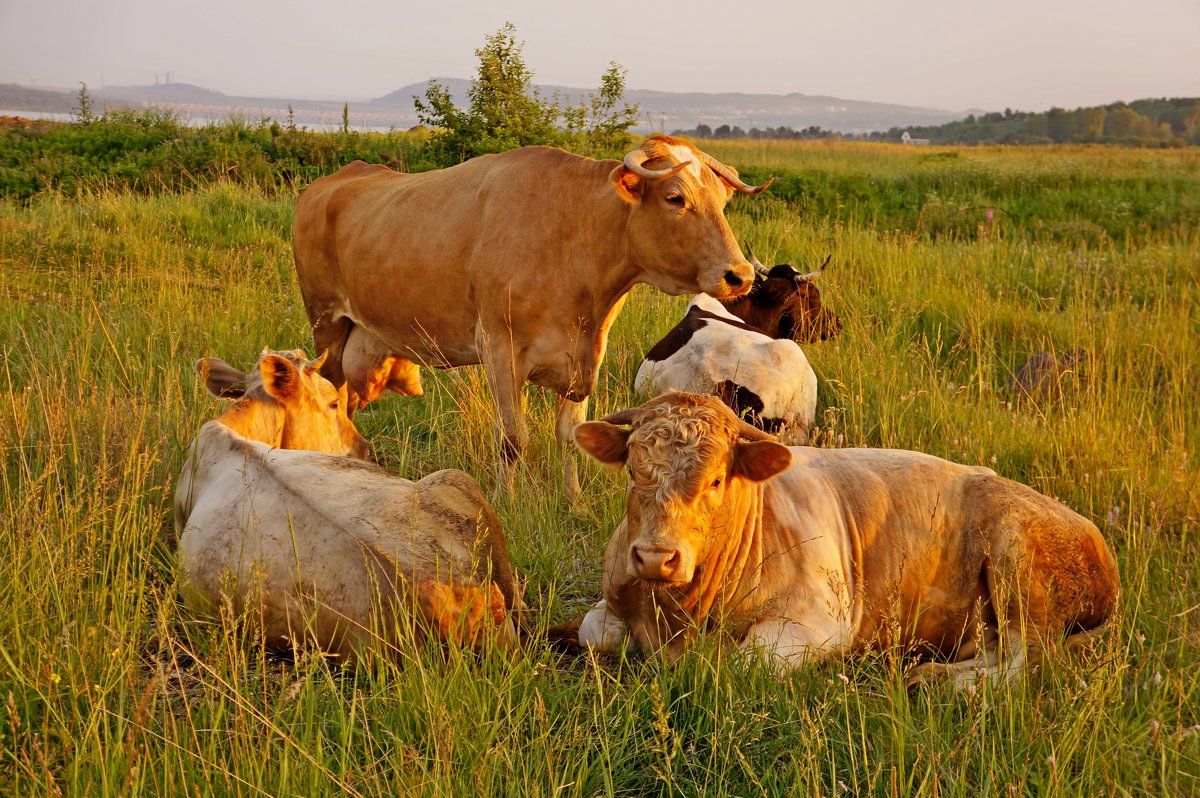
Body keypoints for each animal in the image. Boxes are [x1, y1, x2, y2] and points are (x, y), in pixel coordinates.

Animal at [295, 136, 772, 499]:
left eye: (722, 201)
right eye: (676, 198)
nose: (739, 275)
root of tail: (331, 182)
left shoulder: (585, 359)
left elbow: (571, 436)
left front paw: (573, 500)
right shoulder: (500, 351)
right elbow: (512, 439)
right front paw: (506, 500)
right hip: (326, 325)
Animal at [566, 391, 1118, 686]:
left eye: (717, 480)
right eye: (632, 470)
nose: (655, 557)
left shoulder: (821, 622)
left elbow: (744, 661)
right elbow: (594, 633)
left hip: (1017, 562)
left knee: (1027, 658)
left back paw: (944, 687)